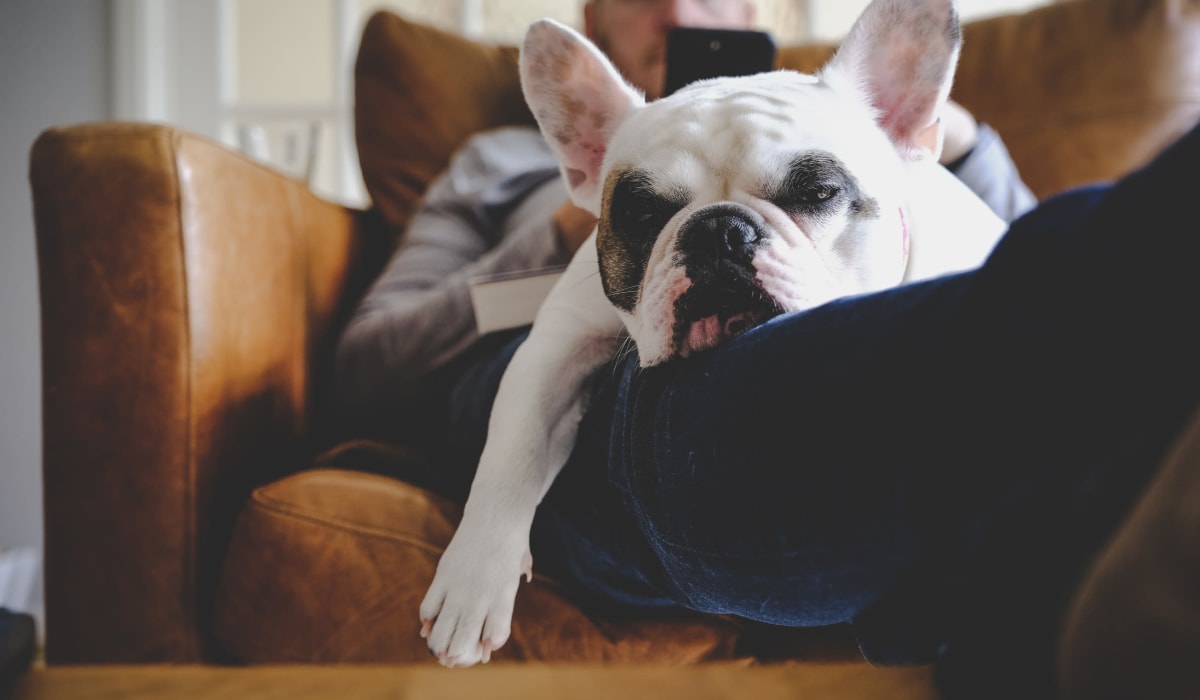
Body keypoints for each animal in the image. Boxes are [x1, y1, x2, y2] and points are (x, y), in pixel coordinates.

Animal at [420, 0, 1003, 667]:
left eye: (819, 193)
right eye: (640, 214)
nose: (719, 230)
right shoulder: (553, 351)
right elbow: (510, 453)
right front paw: (472, 580)